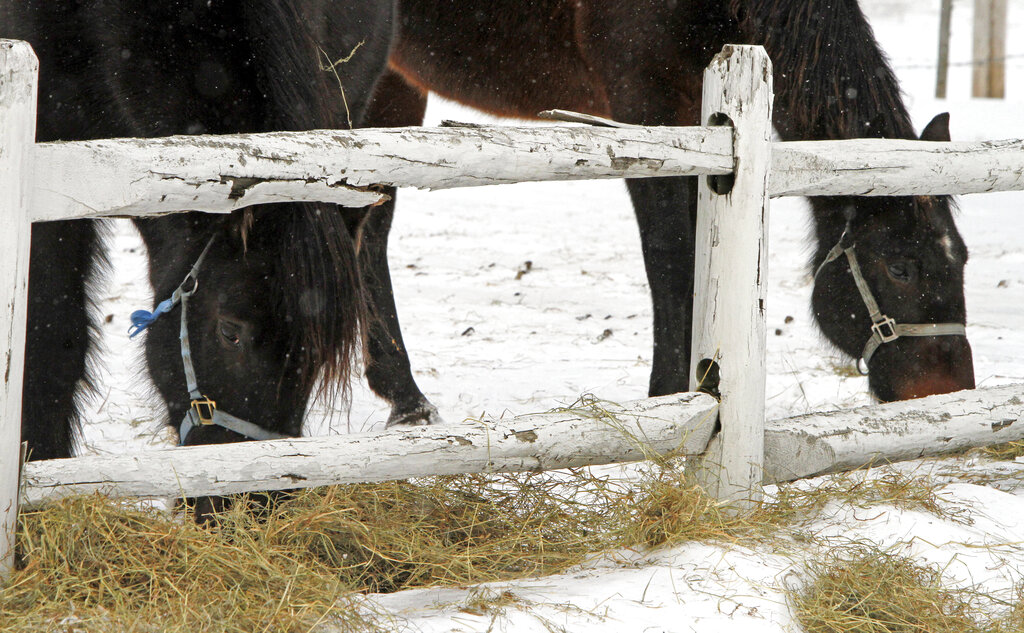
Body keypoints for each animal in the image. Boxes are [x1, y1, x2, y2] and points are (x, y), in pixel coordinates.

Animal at [355, 0, 975, 424]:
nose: (947, 391)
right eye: (900, 266)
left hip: (392, 83)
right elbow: (671, 260)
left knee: (367, 224)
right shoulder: (644, 115)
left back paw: (404, 397)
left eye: (961, 258)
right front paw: (672, 394)